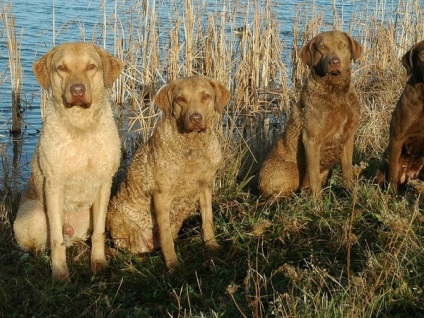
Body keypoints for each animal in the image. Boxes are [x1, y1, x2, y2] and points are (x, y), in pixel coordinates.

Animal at [13, 41, 121, 280]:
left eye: (91, 66)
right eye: (61, 68)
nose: (77, 90)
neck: (81, 126)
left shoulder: (104, 183)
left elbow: (99, 232)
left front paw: (98, 262)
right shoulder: (54, 184)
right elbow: (56, 240)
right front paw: (60, 273)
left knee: (85, 237)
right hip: (34, 215)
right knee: (42, 246)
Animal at [107, 75, 230, 270]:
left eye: (206, 96)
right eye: (180, 99)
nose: (196, 118)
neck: (192, 147)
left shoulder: (205, 187)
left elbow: (208, 220)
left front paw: (212, 245)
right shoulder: (161, 196)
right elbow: (165, 238)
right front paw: (173, 264)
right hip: (120, 222)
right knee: (131, 250)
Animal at [258, 29, 362, 199]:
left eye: (343, 45)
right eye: (322, 47)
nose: (334, 62)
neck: (336, 93)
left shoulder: (348, 136)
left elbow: (347, 170)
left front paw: (350, 193)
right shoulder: (311, 139)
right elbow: (313, 175)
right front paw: (317, 202)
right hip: (292, 172)